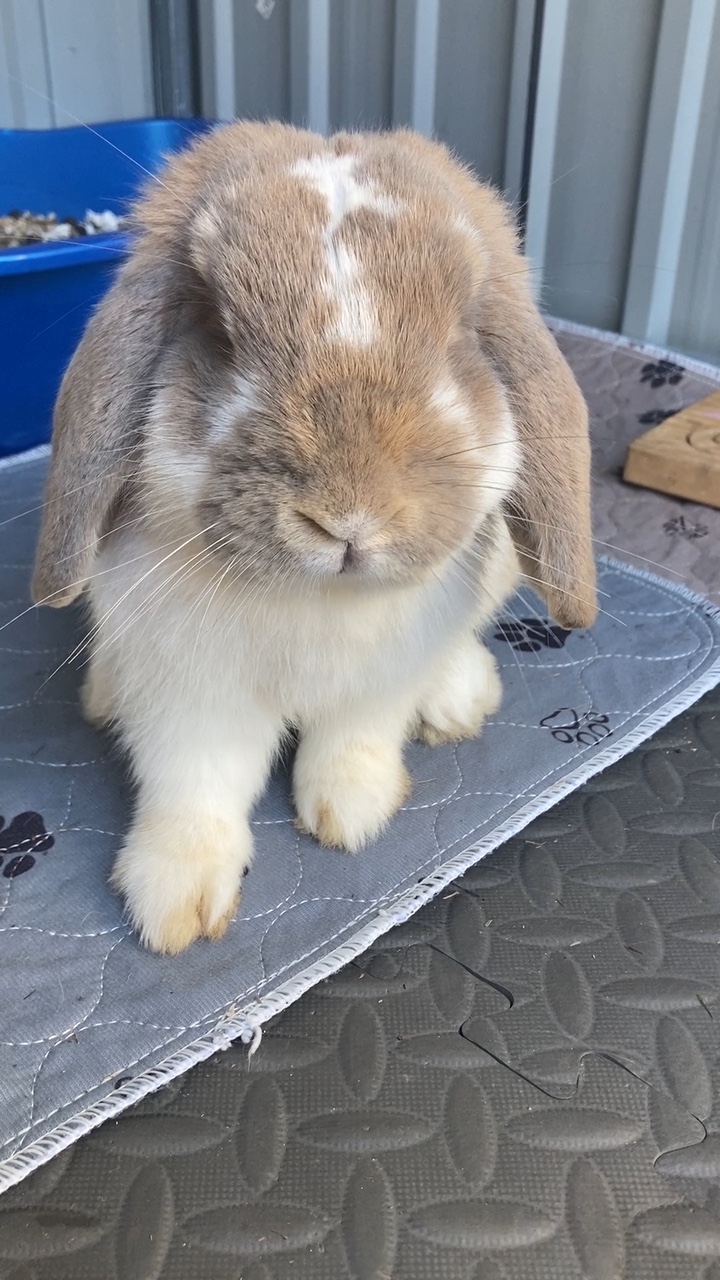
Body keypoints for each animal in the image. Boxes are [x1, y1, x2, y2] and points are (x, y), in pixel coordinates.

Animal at [32, 122, 596, 954]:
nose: (349, 516)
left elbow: (355, 740)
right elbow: (195, 783)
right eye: (218, 331)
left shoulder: (383, 677)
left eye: (459, 333)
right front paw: (176, 903)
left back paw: (459, 700)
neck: (319, 601)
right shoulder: (189, 692)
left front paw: (352, 814)